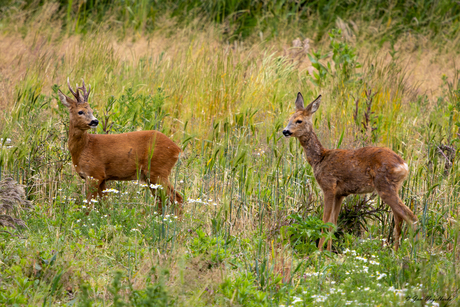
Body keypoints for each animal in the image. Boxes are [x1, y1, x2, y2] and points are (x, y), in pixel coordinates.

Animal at [55, 79, 181, 214]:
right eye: (80, 111)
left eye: (91, 110)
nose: (95, 121)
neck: (85, 147)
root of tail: (177, 149)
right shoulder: (102, 177)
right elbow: (105, 204)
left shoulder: (94, 174)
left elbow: (89, 205)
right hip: (151, 177)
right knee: (162, 200)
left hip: (159, 171)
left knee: (176, 198)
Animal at [282, 92, 418, 251]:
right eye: (289, 118)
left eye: (299, 120)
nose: (285, 131)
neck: (320, 159)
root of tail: (404, 165)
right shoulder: (340, 193)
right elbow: (333, 224)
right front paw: (328, 252)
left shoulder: (329, 186)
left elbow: (324, 221)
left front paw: (319, 251)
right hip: (393, 187)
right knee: (399, 219)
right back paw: (395, 252)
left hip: (384, 185)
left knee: (411, 217)